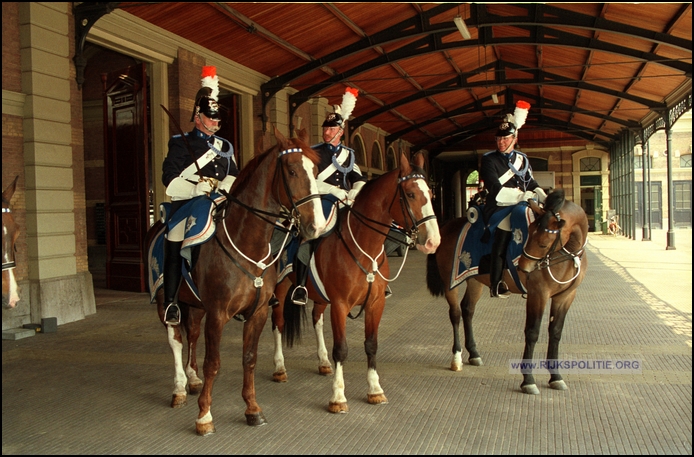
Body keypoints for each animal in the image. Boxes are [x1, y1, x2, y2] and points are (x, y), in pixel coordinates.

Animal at [145, 126, 328, 432]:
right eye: (291, 171)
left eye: (315, 170)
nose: (316, 226)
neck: (248, 242)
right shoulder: (218, 313)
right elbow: (213, 362)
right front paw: (204, 415)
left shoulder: (257, 312)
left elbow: (249, 359)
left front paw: (252, 408)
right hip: (164, 300)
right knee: (176, 339)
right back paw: (180, 387)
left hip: (195, 304)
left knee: (191, 334)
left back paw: (192, 378)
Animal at [272, 153, 440, 414]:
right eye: (411, 194)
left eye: (430, 194)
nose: (433, 241)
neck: (365, 247)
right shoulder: (340, 304)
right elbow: (341, 349)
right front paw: (338, 396)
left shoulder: (376, 303)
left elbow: (371, 344)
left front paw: (375, 389)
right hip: (280, 287)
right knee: (278, 323)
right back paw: (279, 367)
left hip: (320, 296)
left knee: (317, 319)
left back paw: (323, 362)